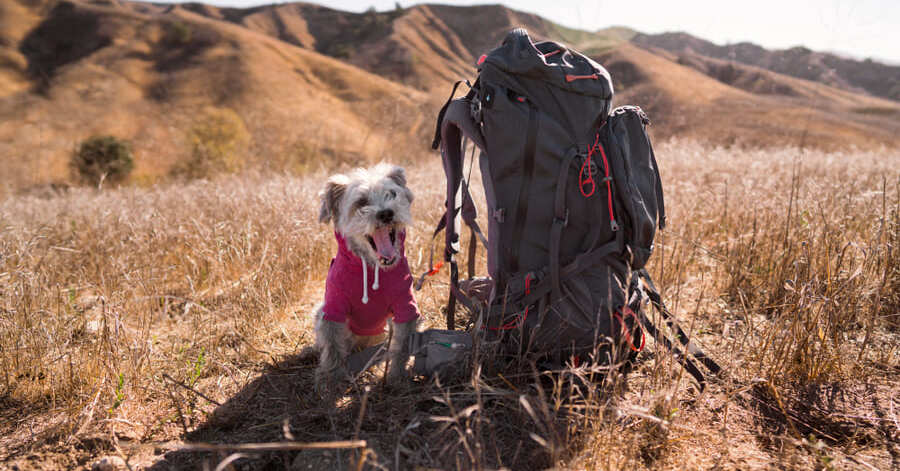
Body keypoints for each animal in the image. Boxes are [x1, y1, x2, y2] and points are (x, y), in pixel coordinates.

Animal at [312, 164, 418, 392]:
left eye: (392, 194)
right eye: (361, 202)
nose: (386, 213)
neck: (371, 267)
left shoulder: (406, 305)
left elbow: (402, 345)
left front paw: (397, 377)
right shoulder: (333, 307)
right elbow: (332, 348)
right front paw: (331, 380)